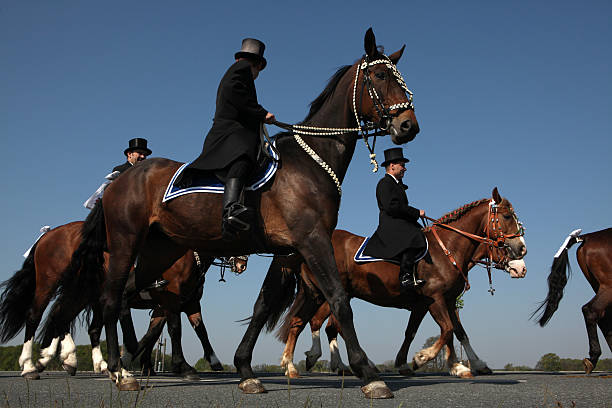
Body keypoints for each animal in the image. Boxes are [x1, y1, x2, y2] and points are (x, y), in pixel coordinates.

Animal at [0, 223, 243, 380]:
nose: (242, 264)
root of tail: (48, 235)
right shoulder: (169, 299)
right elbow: (172, 330)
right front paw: (176, 366)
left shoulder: (187, 304)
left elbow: (197, 331)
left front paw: (213, 361)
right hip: (50, 283)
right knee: (37, 315)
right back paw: (31, 365)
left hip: (81, 293)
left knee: (64, 317)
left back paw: (67, 359)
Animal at [39, 27, 420, 398]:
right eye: (381, 75)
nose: (408, 126)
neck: (311, 160)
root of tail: (119, 180)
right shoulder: (312, 240)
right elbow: (339, 299)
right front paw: (368, 373)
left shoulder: (287, 251)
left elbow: (261, 307)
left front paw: (245, 369)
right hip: (125, 243)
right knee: (110, 298)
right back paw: (119, 371)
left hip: (157, 253)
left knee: (126, 297)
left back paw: (125, 361)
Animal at [266, 188, 524, 380]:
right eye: (507, 217)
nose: (522, 257)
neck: (447, 248)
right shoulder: (435, 299)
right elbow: (448, 330)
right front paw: (423, 358)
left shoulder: (439, 302)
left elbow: (448, 332)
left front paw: (462, 365)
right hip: (325, 294)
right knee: (313, 323)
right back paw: (303, 363)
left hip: (323, 294)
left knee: (306, 322)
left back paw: (299, 364)